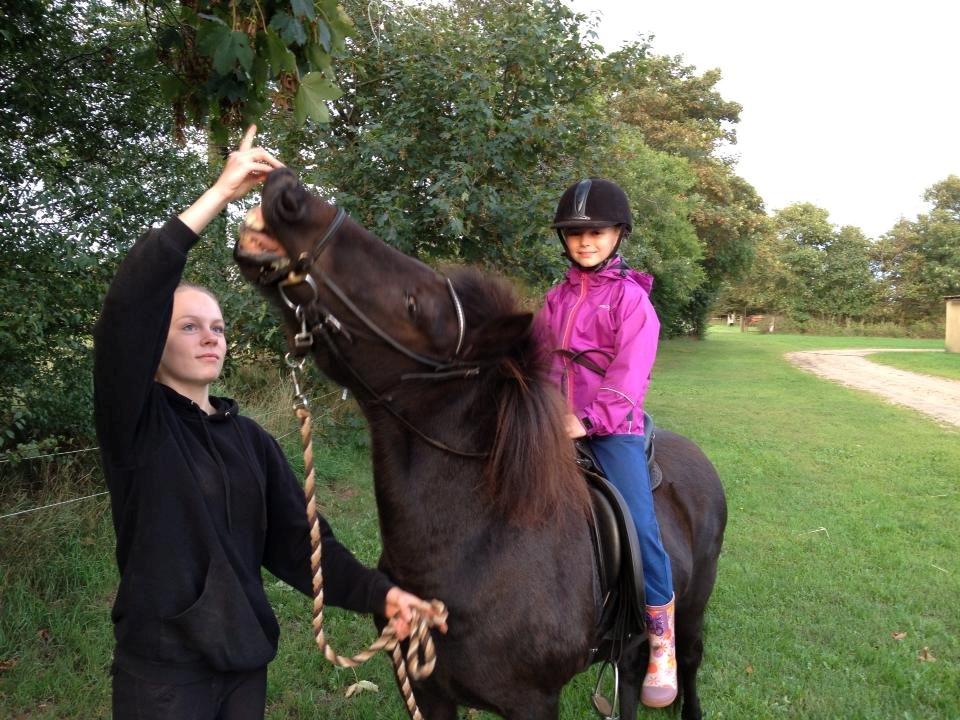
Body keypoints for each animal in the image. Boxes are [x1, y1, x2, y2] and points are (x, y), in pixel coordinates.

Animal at [236, 170, 724, 720]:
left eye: (413, 304)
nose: (289, 194)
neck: (478, 548)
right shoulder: (424, 689)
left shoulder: (533, 702)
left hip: (692, 610)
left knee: (687, 661)